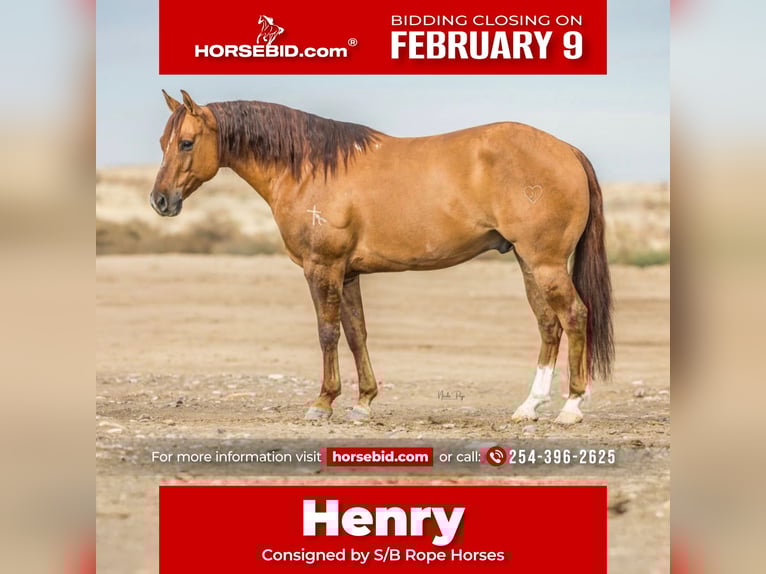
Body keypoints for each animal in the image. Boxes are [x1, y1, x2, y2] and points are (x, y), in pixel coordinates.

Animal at [151, 90, 614, 425]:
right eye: (162, 142)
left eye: (187, 142)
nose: (160, 201)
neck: (310, 169)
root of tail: (567, 150)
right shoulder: (348, 273)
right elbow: (357, 333)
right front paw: (363, 402)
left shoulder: (322, 268)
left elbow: (327, 333)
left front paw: (323, 402)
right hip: (528, 262)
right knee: (549, 324)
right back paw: (529, 407)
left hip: (545, 262)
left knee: (574, 316)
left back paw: (570, 409)